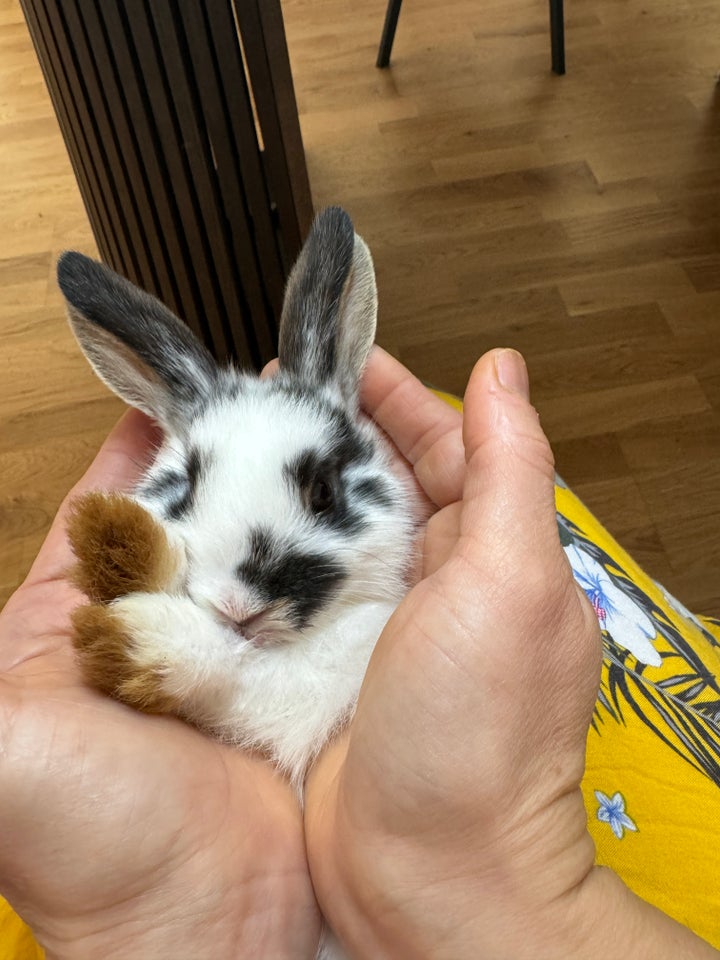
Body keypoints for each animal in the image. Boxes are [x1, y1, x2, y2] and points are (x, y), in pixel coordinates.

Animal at [60, 206, 422, 956]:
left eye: (322, 491)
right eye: (184, 487)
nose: (239, 604)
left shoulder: (300, 693)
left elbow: (229, 667)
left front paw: (133, 638)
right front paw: (119, 544)